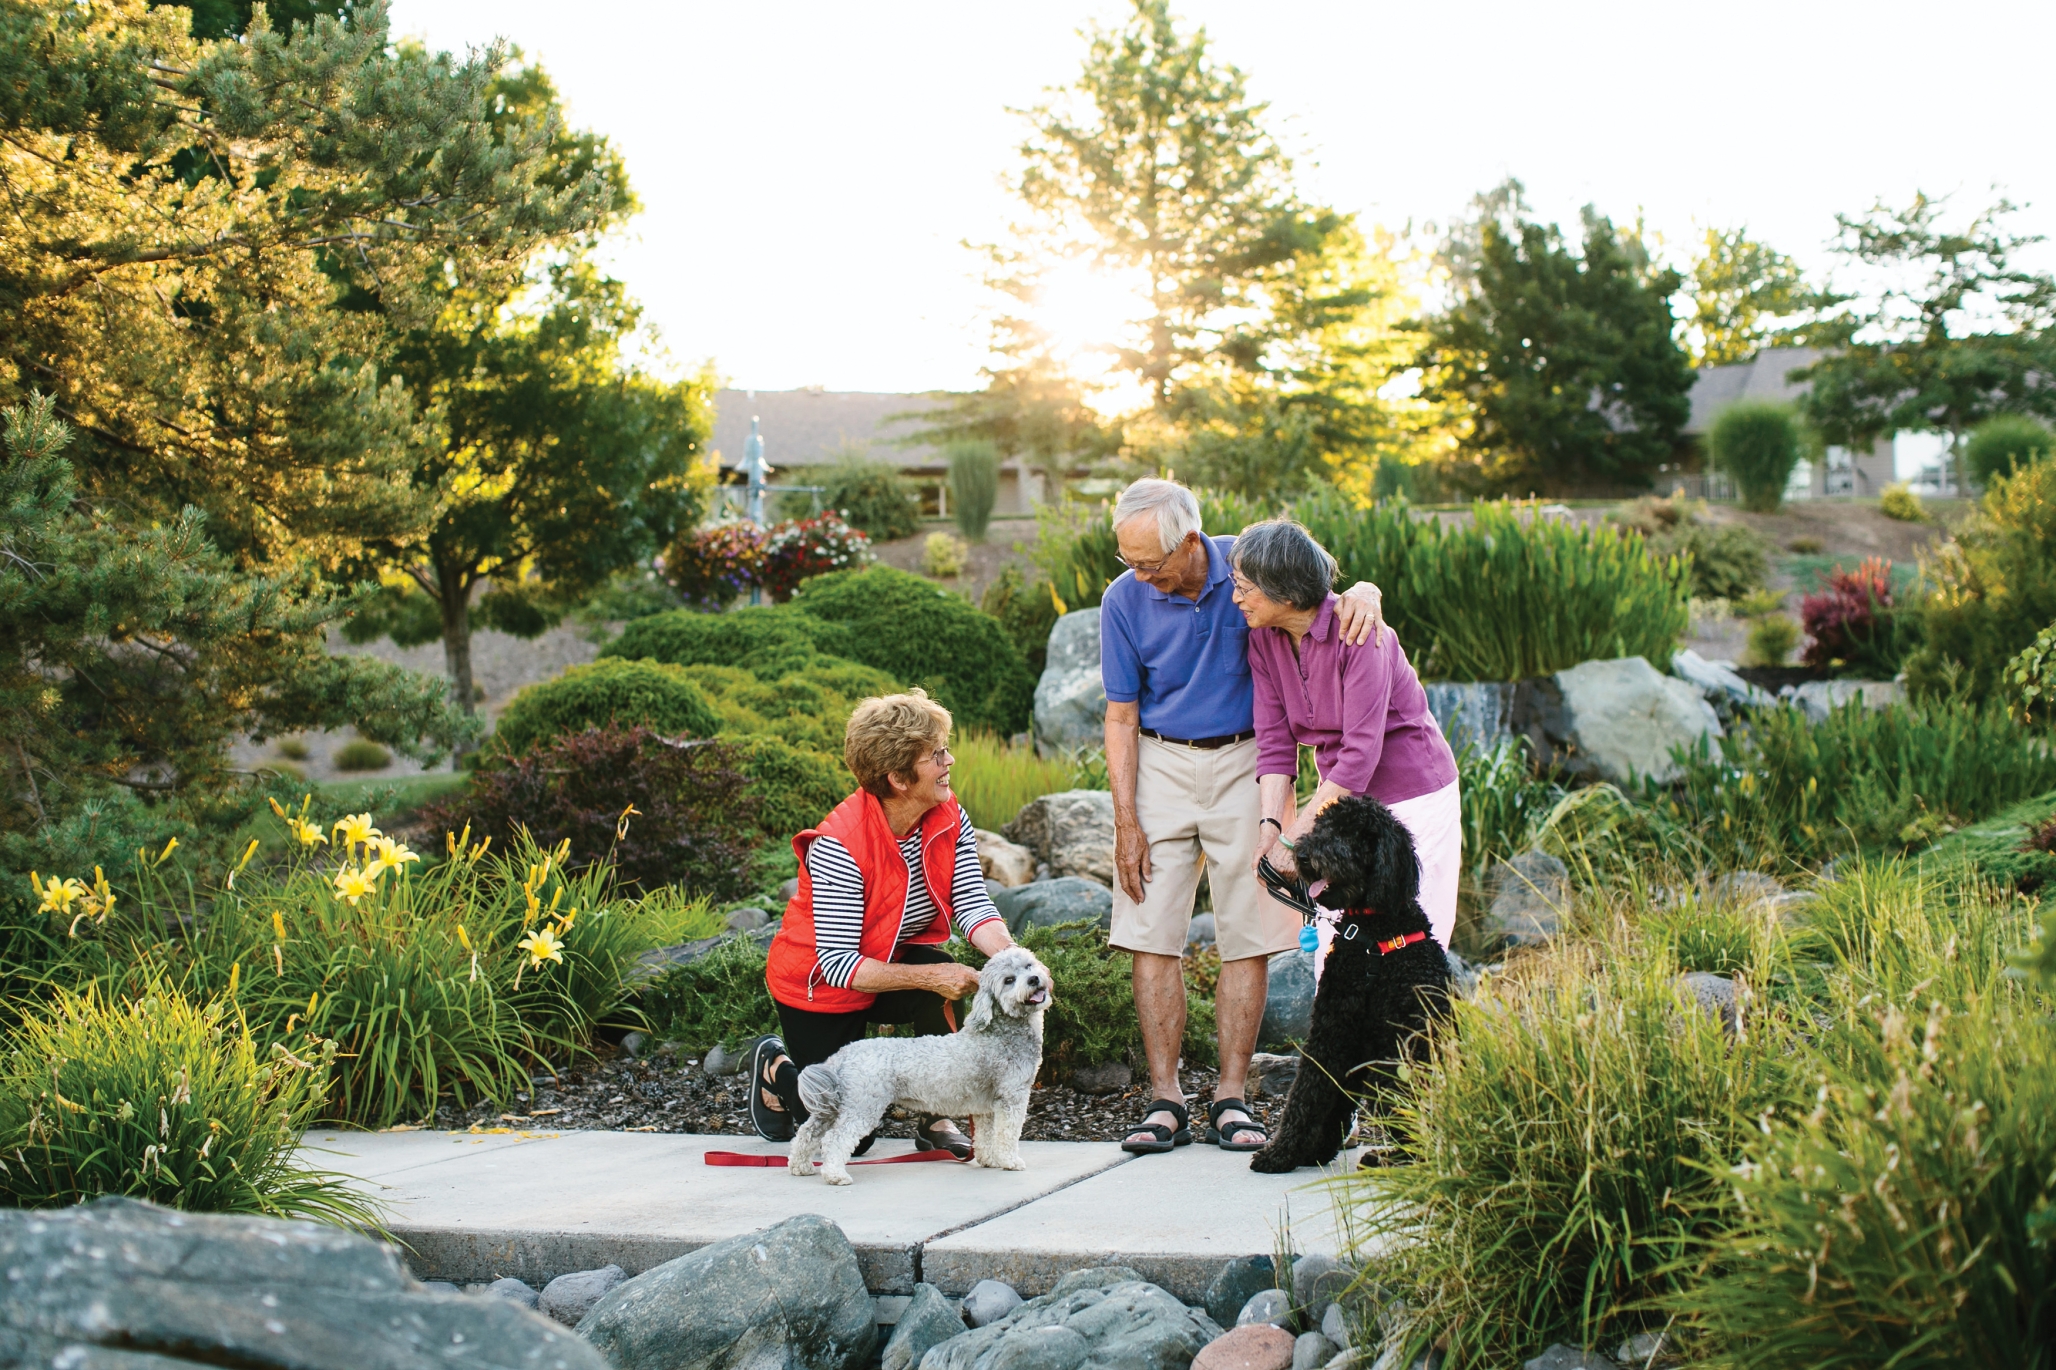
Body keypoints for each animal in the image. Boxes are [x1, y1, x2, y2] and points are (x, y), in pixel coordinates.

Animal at [781, 946, 1052, 1176]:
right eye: (1008, 980)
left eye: (1028, 965)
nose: (1033, 979)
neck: (1001, 1033)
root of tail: (844, 1054)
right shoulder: (1012, 1097)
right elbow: (1008, 1134)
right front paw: (1010, 1162)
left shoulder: (985, 1107)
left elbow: (985, 1137)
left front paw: (989, 1160)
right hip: (863, 1106)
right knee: (835, 1138)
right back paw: (835, 1175)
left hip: (834, 1106)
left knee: (808, 1132)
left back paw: (800, 1166)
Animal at [1241, 794, 1455, 1168]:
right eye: (1322, 826)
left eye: (1349, 835)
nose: (1303, 855)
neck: (1374, 934)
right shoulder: (1338, 1023)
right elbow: (1319, 1090)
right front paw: (1309, 1150)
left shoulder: (1336, 1028)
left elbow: (1305, 1091)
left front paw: (1280, 1153)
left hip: (1394, 1070)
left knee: (1418, 1138)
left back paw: (1391, 1159)